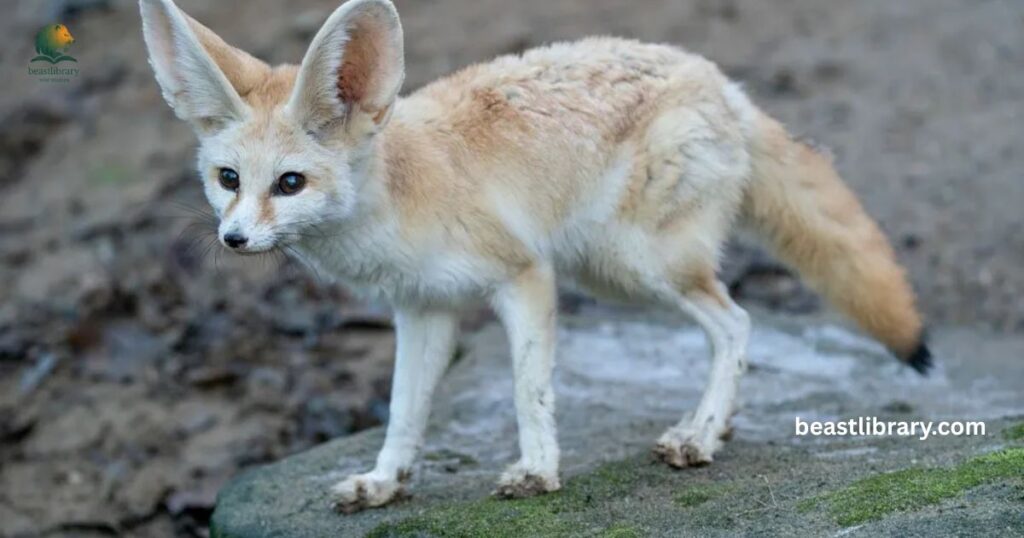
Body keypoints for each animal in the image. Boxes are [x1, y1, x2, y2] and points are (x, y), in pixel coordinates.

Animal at [139, 0, 932, 513]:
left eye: (290, 183)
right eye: (229, 180)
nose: (234, 240)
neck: (402, 196)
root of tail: (719, 80)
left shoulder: (525, 276)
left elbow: (529, 389)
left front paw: (538, 471)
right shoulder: (422, 310)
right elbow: (403, 412)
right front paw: (385, 482)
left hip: (633, 267)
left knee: (736, 323)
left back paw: (701, 434)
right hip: (614, 271)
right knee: (729, 326)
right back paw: (718, 423)